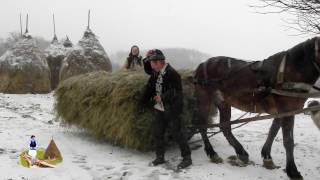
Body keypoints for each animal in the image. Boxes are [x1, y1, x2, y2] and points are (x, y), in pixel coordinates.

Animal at [192, 36, 320, 179]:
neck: (291, 70)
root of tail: (202, 64)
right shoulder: (287, 110)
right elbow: (288, 141)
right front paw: (292, 171)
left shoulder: (280, 112)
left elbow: (272, 131)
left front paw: (267, 156)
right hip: (204, 99)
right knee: (202, 125)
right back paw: (212, 153)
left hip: (223, 102)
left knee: (225, 126)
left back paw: (241, 153)